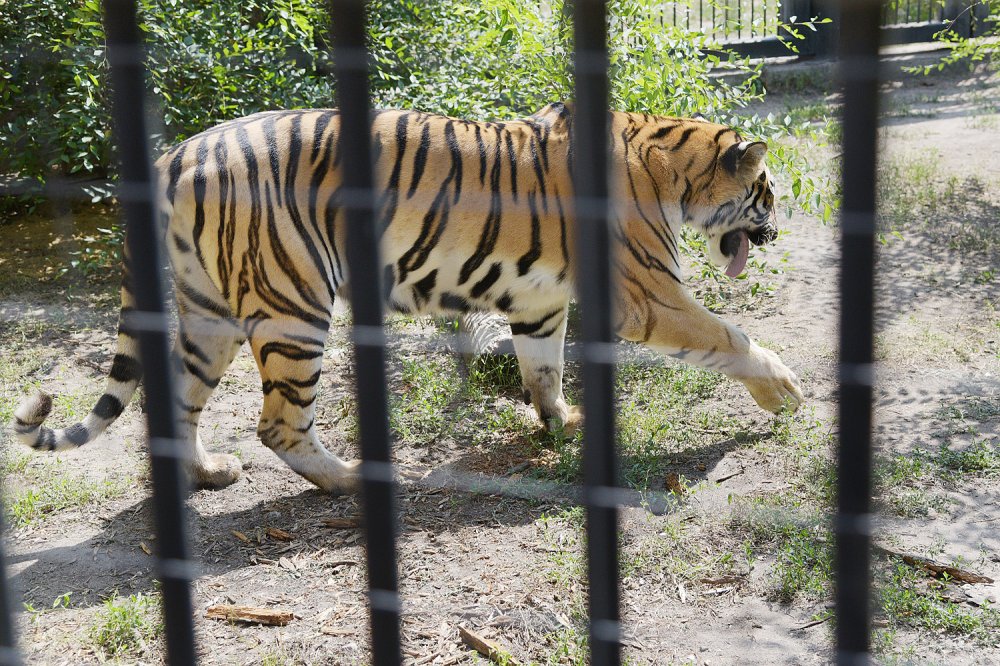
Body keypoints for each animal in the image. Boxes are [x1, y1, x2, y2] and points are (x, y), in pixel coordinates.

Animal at [13, 102, 804, 488]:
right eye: (766, 191)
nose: (774, 231)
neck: (673, 165)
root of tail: (174, 154)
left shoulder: (541, 301)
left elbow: (543, 367)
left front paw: (560, 422)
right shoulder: (649, 295)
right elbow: (729, 336)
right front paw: (784, 393)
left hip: (210, 314)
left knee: (175, 402)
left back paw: (208, 474)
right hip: (293, 305)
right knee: (279, 423)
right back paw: (350, 480)